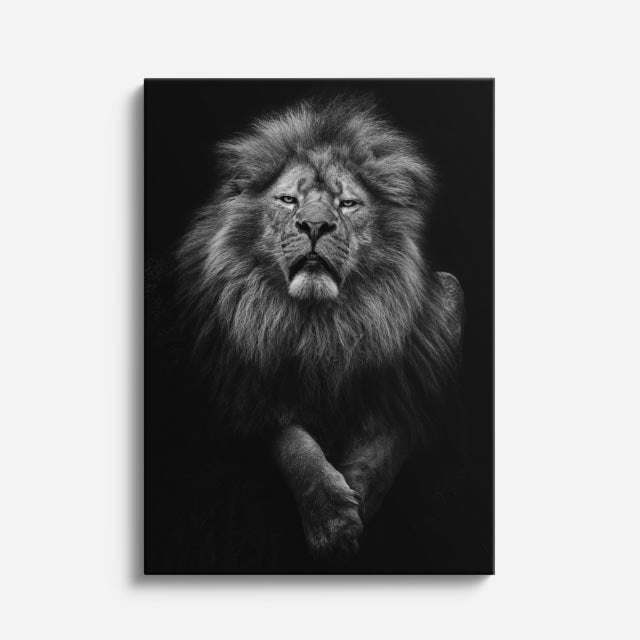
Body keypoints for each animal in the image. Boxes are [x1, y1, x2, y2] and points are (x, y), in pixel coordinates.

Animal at [176, 97, 463, 558]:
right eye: (288, 199)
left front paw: (356, 503)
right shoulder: (249, 386)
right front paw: (331, 519)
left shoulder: (411, 382)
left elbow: (381, 448)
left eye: (347, 204)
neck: (321, 323)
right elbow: (295, 447)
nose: (314, 226)